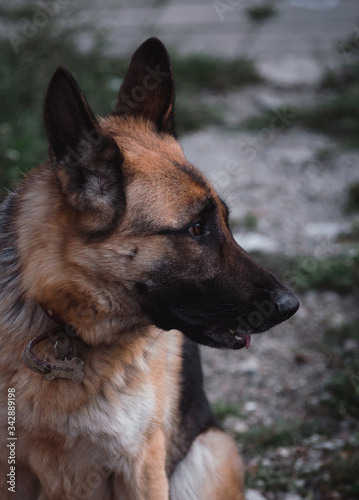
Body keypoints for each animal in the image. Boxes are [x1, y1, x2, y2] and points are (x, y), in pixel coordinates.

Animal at [0, 37, 298, 498]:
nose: (290, 305)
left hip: (207, 455)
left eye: (225, 222)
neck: (64, 327)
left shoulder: (141, 466)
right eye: (197, 229)